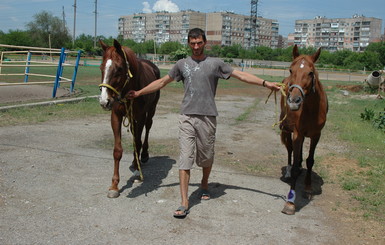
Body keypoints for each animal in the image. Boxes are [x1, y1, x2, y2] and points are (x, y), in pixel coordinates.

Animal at [99, 39, 160, 198]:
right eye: (101, 67)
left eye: (119, 69)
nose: (104, 101)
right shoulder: (116, 116)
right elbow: (117, 150)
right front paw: (114, 185)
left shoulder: (140, 115)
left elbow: (138, 142)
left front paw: (138, 174)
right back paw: (135, 161)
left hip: (151, 110)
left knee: (147, 129)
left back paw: (142, 156)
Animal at [280, 44, 328, 214]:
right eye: (290, 70)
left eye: (310, 72)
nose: (294, 101)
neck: (311, 109)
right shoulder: (297, 134)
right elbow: (295, 163)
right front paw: (290, 202)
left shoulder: (316, 135)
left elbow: (310, 160)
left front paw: (307, 188)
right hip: (286, 131)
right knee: (289, 151)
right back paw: (288, 172)